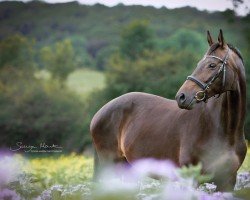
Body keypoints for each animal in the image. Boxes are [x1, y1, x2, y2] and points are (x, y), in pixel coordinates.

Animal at [90, 30, 246, 191]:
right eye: (199, 64)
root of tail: (98, 114)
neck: (224, 131)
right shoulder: (190, 179)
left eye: (212, 65)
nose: (181, 97)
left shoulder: (227, 182)